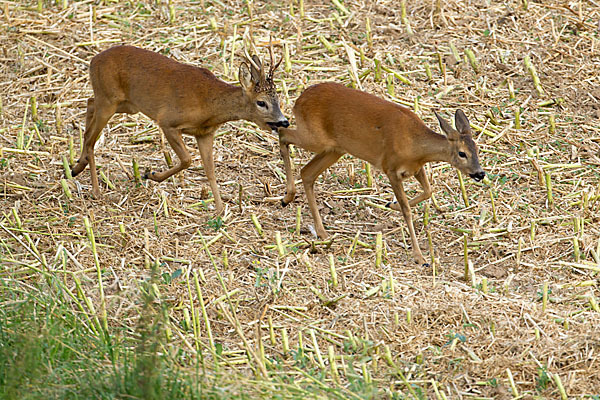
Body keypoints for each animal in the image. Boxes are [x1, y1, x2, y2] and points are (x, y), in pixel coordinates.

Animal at [71, 44, 288, 214]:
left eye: (278, 99)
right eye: (261, 102)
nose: (284, 121)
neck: (209, 104)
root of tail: (93, 60)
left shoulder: (205, 133)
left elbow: (210, 170)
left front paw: (219, 210)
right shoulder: (168, 122)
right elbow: (187, 159)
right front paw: (151, 175)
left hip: (125, 104)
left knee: (89, 106)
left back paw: (77, 167)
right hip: (109, 100)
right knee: (91, 136)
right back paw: (95, 190)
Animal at [276, 82, 482, 266]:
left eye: (477, 149)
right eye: (462, 153)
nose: (480, 173)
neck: (414, 145)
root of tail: (300, 99)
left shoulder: (416, 168)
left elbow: (428, 191)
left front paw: (391, 205)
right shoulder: (390, 168)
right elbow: (407, 210)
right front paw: (420, 258)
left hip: (334, 149)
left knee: (307, 172)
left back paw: (321, 231)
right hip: (315, 138)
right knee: (283, 133)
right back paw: (287, 197)